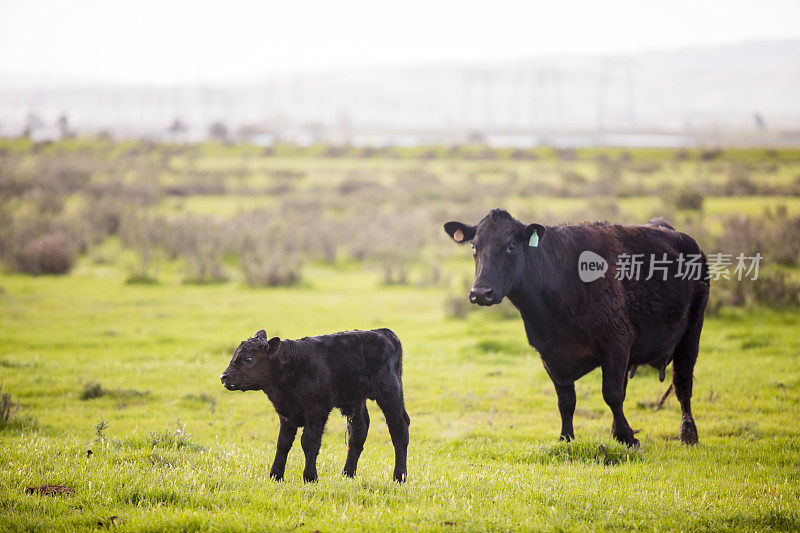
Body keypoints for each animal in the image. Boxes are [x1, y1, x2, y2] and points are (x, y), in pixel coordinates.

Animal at [219, 328, 410, 482]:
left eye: (248, 359)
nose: (224, 376)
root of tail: (384, 333)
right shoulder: (285, 413)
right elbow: (283, 443)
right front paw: (275, 475)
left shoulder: (316, 410)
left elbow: (309, 442)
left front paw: (310, 477)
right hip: (358, 401)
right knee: (358, 431)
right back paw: (347, 474)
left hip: (390, 393)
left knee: (399, 429)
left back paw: (399, 476)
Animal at [444, 210, 712, 446]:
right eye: (474, 247)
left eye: (510, 246)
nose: (481, 293)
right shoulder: (550, 354)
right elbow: (566, 401)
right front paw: (567, 438)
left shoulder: (616, 341)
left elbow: (611, 394)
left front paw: (628, 438)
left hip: (691, 334)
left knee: (682, 385)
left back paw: (688, 434)